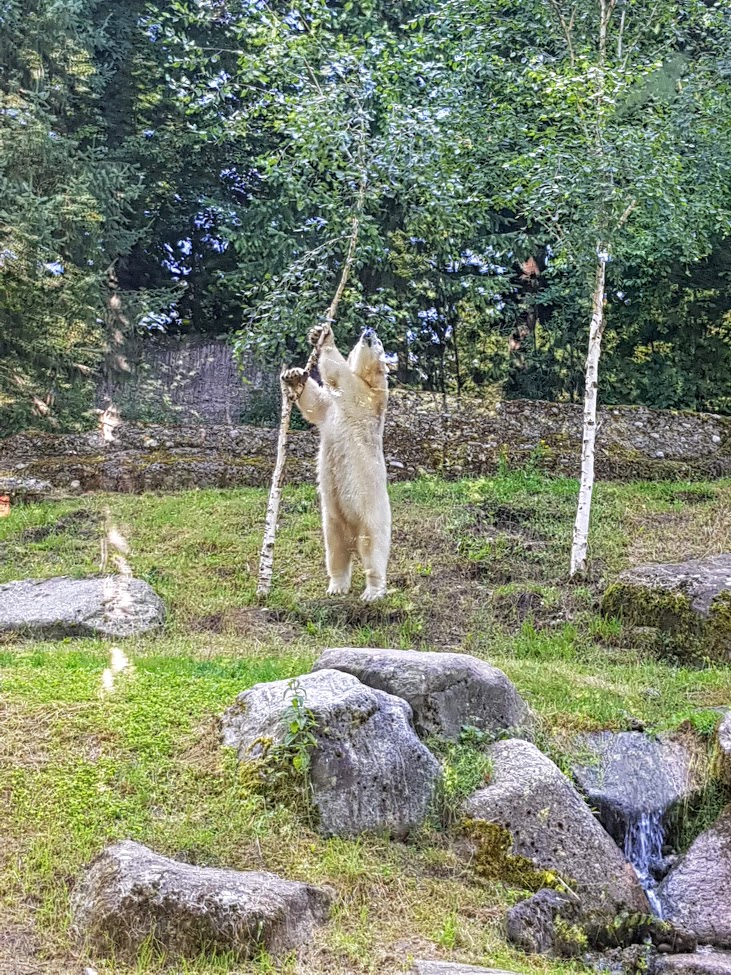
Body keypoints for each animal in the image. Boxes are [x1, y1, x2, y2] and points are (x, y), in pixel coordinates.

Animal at [282, 325, 391, 602]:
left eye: (379, 342)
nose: (368, 331)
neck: (370, 379)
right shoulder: (331, 411)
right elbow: (316, 404)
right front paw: (293, 375)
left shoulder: (365, 397)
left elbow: (339, 376)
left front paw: (326, 339)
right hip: (332, 519)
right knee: (335, 550)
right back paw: (336, 586)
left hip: (372, 515)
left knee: (373, 551)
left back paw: (373, 591)